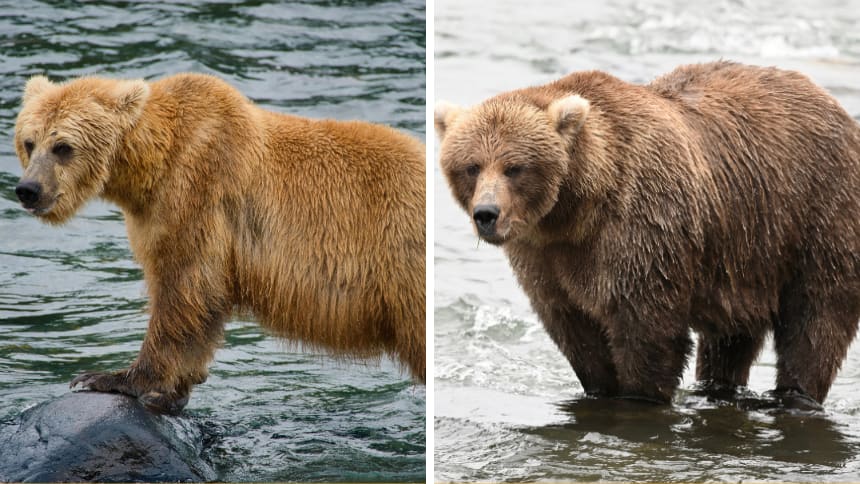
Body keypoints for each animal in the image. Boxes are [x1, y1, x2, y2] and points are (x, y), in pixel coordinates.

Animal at [14, 73, 425, 413]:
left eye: (63, 146)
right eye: (29, 142)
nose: (28, 189)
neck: (152, 164)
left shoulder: (197, 192)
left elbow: (184, 289)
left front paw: (109, 379)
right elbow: (199, 301)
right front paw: (175, 390)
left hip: (404, 260)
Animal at [436, 61, 860, 406]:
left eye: (515, 167)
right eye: (472, 166)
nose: (486, 214)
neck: (577, 210)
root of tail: (832, 103)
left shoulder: (642, 226)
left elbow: (647, 329)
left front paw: (639, 396)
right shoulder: (544, 256)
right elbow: (575, 330)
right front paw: (599, 388)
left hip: (816, 214)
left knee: (815, 320)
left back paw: (795, 395)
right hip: (745, 252)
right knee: (731, 337)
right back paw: (717, 389)